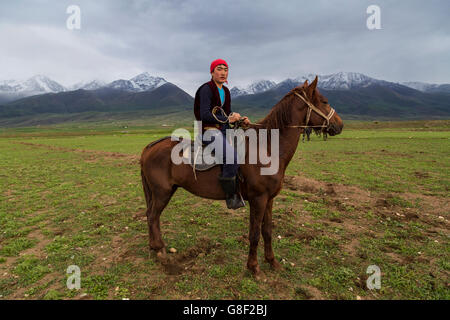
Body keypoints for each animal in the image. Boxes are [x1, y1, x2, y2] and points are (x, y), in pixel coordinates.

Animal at [141, 76, 344, 276]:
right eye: (324, 101)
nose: (340, 125)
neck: (267, 148)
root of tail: (150, 147)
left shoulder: (269, 199)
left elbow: (267, 231)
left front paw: (272, 262)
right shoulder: (258, 199)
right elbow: (254, 234)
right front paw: (254, 267)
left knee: (151, 215)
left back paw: (155, 247)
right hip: (162, 192)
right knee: (152, 216)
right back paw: (160, 250)